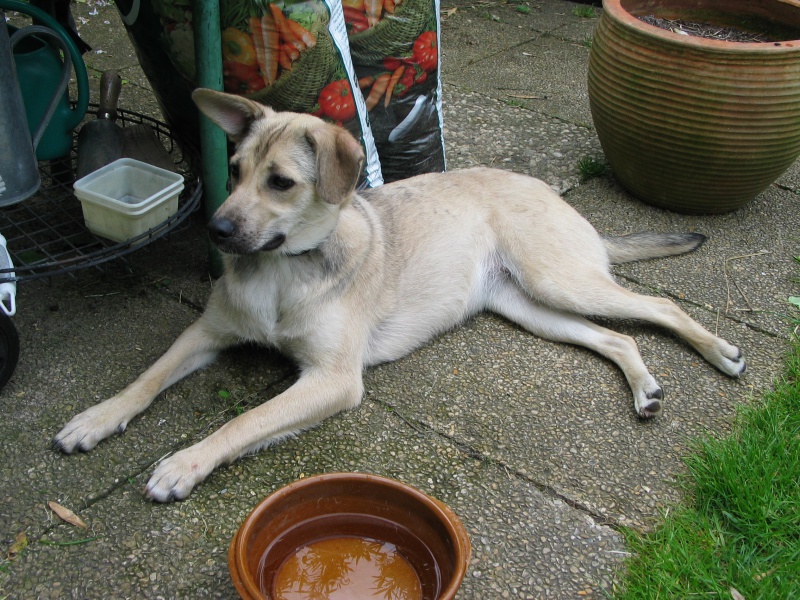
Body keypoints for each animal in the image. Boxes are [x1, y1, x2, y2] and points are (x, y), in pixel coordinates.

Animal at [53, 89, 748, 502]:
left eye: (280, 182)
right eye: (234, 171)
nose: (216, 231)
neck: (284, 268)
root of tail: (551, 193)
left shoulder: (333, 380)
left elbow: (243, 422)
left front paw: (185, 463)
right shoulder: (206, 331)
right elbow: (147, 377)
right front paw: (97, 418)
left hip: (558, 280)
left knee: (660, 307)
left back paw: (721, 353)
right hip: (532, 308)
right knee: (617, 335)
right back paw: (645, 387)